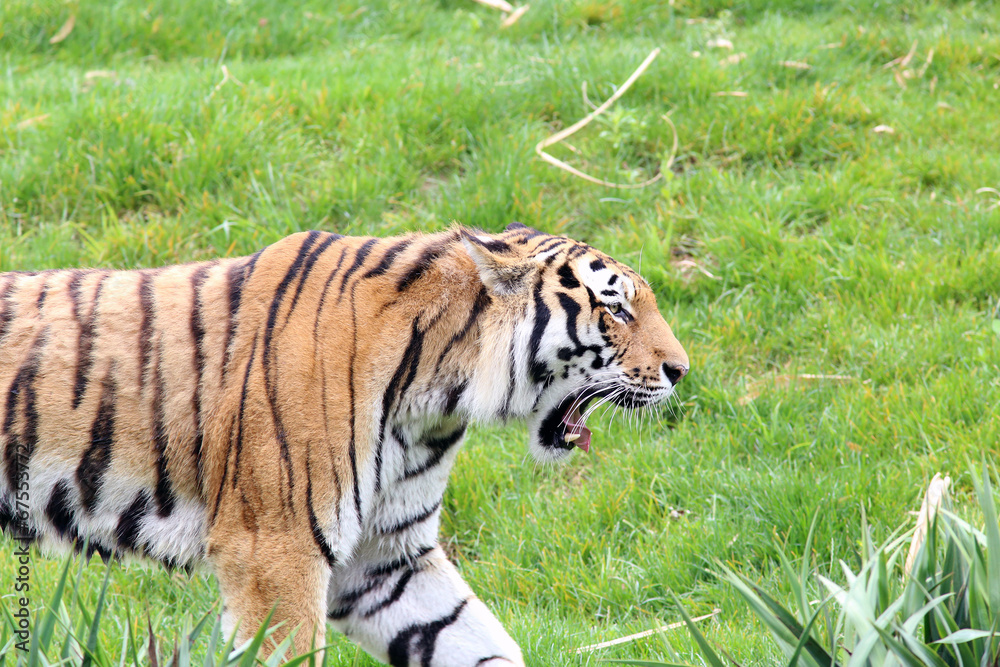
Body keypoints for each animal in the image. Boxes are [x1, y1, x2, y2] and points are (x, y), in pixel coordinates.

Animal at [0, 222, 688, 666]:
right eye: (616, 310)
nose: (681, 370)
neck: (438, 393)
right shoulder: (273, 550)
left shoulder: (385, 558)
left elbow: (478, 642)